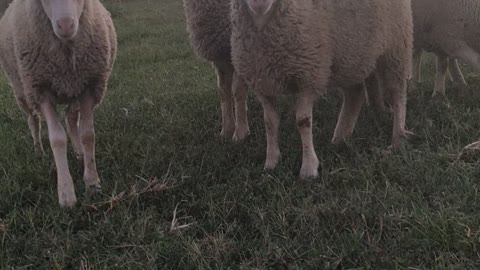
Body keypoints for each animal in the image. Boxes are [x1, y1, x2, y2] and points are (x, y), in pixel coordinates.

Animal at [0, 0, 117, 207]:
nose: (66, 25)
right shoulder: (41, 90)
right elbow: (57, 139)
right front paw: (66, 193)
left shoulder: (89, 85)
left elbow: (88, 135)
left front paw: (92, 183)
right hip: (23, 89)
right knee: (33, 121)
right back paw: (39, 151)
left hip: (74, 90)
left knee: (70, 119)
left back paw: (79, 153)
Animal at [183, 0, 251, 142]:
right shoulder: (221, 55)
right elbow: (223, 92)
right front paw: (227, 130)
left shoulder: (242, 51)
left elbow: (238, 92)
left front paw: (240, 132)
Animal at [231, 0, 410, 179]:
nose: (259, 3)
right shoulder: (262, 83)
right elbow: (269, 122)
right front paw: (271, 162)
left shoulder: (309, 76)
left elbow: (302, 121)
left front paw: (309, 168)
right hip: (351, 55)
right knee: (355, 94)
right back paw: (340, 138)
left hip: (396, 44)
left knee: (398, 94)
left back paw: (397, 142)